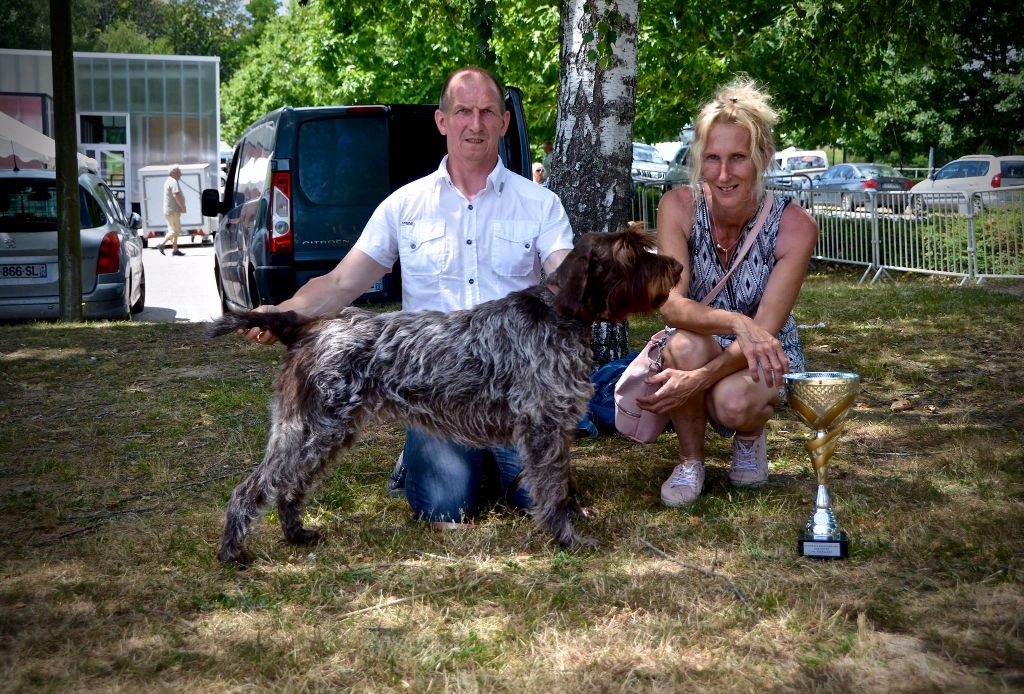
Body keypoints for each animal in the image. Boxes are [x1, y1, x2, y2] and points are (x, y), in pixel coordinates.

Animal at [209, 228, 679, 565]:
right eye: (630, 253)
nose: (675, 267)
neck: (560, 315)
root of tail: (309, 326)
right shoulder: (543, 428)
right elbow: (553, 491)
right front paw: (567, 539)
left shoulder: (554, 430)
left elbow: (560, 487)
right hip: (312, 428)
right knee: (253, 488)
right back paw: (233, 551)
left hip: (325, 433)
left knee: (289, 488)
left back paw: (296, 535)